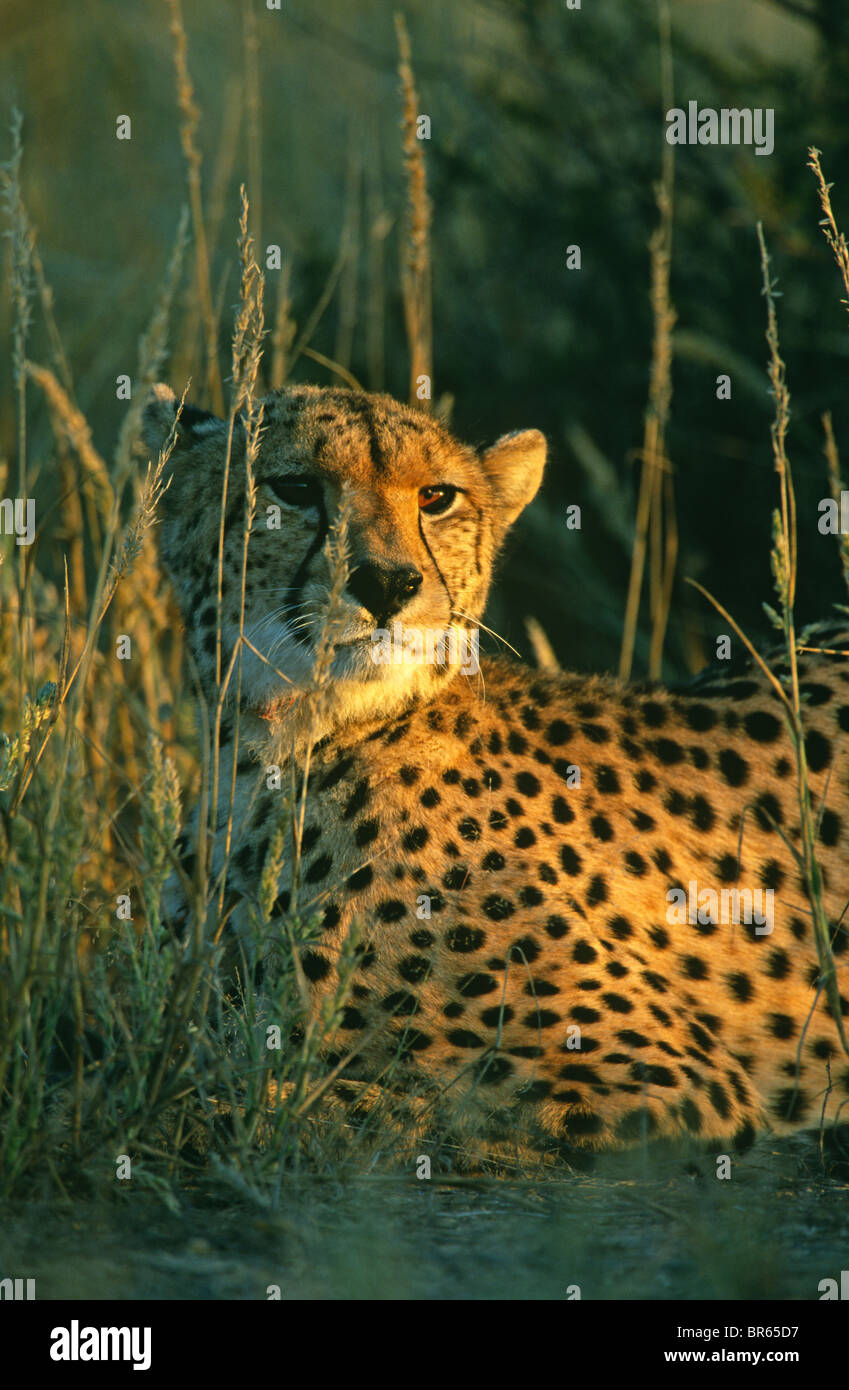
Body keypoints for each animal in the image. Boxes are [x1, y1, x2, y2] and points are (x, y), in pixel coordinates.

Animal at [143, 383, 849, 1162]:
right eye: (293, 488)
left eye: (436, 497)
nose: (387, 582)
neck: (273, 753)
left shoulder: (671, 1082)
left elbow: (352, 1104)